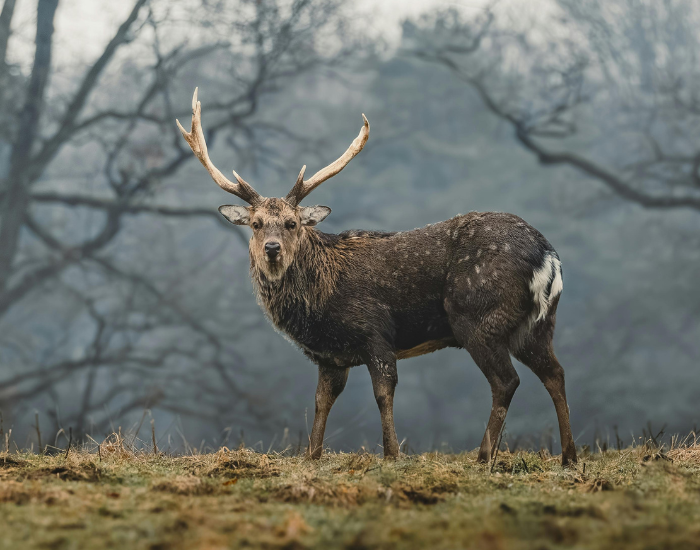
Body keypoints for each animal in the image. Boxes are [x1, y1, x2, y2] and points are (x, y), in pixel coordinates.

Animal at [177, 89, 577, 466]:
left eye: (292, 223)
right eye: (256, 224)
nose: (272, 249)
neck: (320, 302)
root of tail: (548, 255)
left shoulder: (376, 332)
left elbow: (383, 394)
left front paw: (391, 454)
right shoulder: (331, 357)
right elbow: (322, 401)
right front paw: (312, 454)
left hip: (478, 317)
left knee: (507, 381)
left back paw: (484, 456)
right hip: (536, 324)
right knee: (555, 373)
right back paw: (569, 456)